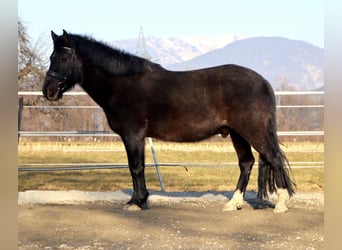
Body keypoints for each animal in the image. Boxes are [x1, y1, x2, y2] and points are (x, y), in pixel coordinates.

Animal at [42, 30, 294, 212]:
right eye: (51, 57)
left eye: (63, 57)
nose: (48, 91)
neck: (122, 84)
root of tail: (263, 82)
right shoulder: (137, 137)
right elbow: (138, 167)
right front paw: (140, 200)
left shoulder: (133, 135)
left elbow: (136, 167)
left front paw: (137, 202)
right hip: (237, 133)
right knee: (246, 163)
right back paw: (233, 203)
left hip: (253, 131)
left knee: (273, 158)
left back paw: (281, 203)